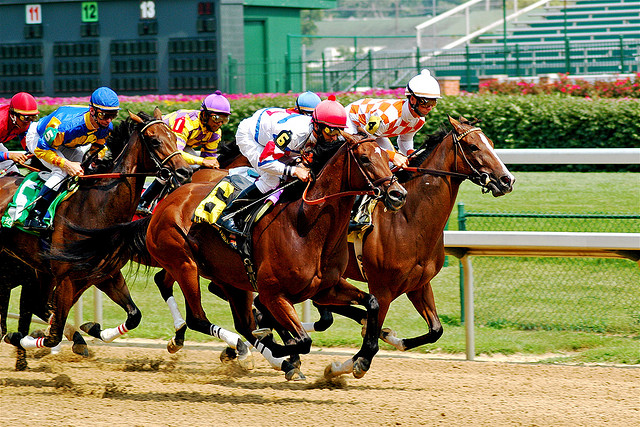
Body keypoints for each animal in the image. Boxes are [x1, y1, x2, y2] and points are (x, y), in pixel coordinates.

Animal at [0, 109, 190, 354]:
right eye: (155, 140)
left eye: (175, 138)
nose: (185, 171)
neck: (96, 206)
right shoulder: (67, 279)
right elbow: (53, 334)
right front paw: (21, 338)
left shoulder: (105, 274)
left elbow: (134, 316)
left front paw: (93, 328)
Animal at [62, 134, 408, 382]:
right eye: (365, 158)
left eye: (387, 156)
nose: (398, 194)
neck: (307, 224)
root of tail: (163, 206)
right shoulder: (273, 292)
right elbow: (300, 339)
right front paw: (280, 351)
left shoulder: (326, 288)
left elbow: (372, 304)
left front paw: (363, 357)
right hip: (184, 263)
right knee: (199, 317)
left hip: (231, 277)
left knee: (237, 319)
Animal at [304, 115, 516, 356]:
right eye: (473, 146)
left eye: (491, 142)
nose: (507, 180)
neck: (408, 220)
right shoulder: (382, 290)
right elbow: (370, 341)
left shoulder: (419, 285)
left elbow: (436, 330)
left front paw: (393, 338)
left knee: (323, 307)